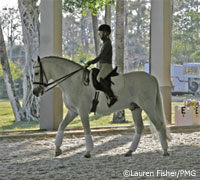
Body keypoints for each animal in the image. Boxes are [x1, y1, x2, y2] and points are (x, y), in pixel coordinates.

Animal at [33, 56, 171, 158]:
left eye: (36, 72)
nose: (35, 92)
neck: (74, 81)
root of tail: (151, 77)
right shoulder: (73, 111)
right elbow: (61, 126)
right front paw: (57, 149)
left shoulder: (82, 111)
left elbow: (86, 130)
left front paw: (88, 152)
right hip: (135, 108)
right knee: (140, 127)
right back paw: (130, 151)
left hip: (148, 107)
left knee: (159, 125)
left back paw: (165, 151)